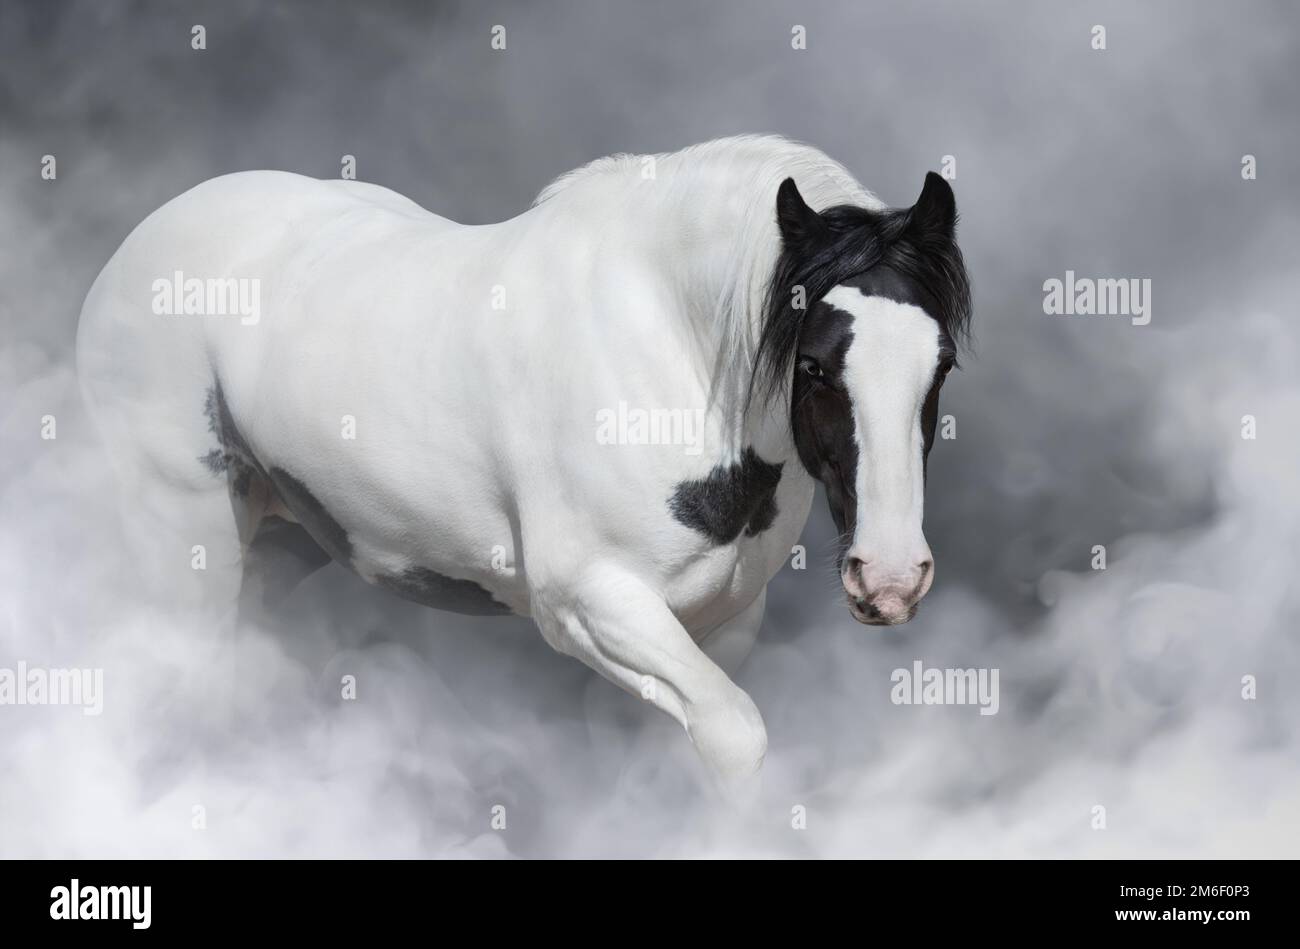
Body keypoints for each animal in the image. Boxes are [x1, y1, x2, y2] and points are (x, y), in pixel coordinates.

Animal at [76, 135, 972, 774]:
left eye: (941, 365)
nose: (891, 579)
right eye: (814, 364)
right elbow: (735, 734)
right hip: (184, 542)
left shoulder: (722, 622)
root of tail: (134, 247)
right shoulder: (590, 603)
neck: (667, 346)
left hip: (279, 534)